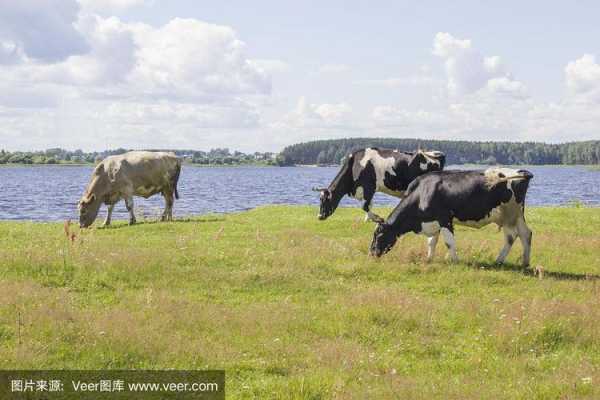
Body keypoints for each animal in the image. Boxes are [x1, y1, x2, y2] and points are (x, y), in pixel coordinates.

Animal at [370, 167, 536, 268]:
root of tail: (521, 172)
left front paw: (455, 261)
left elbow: (449, 243)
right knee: (526, 233)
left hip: (508, 215)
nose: (372, 252)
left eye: (378, 234)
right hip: (517, 215)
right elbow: (431, 242)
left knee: (511, 236)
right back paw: (525, 262)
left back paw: (499, 260)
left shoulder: (444, 219)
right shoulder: (433, 221)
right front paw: (429, 259)